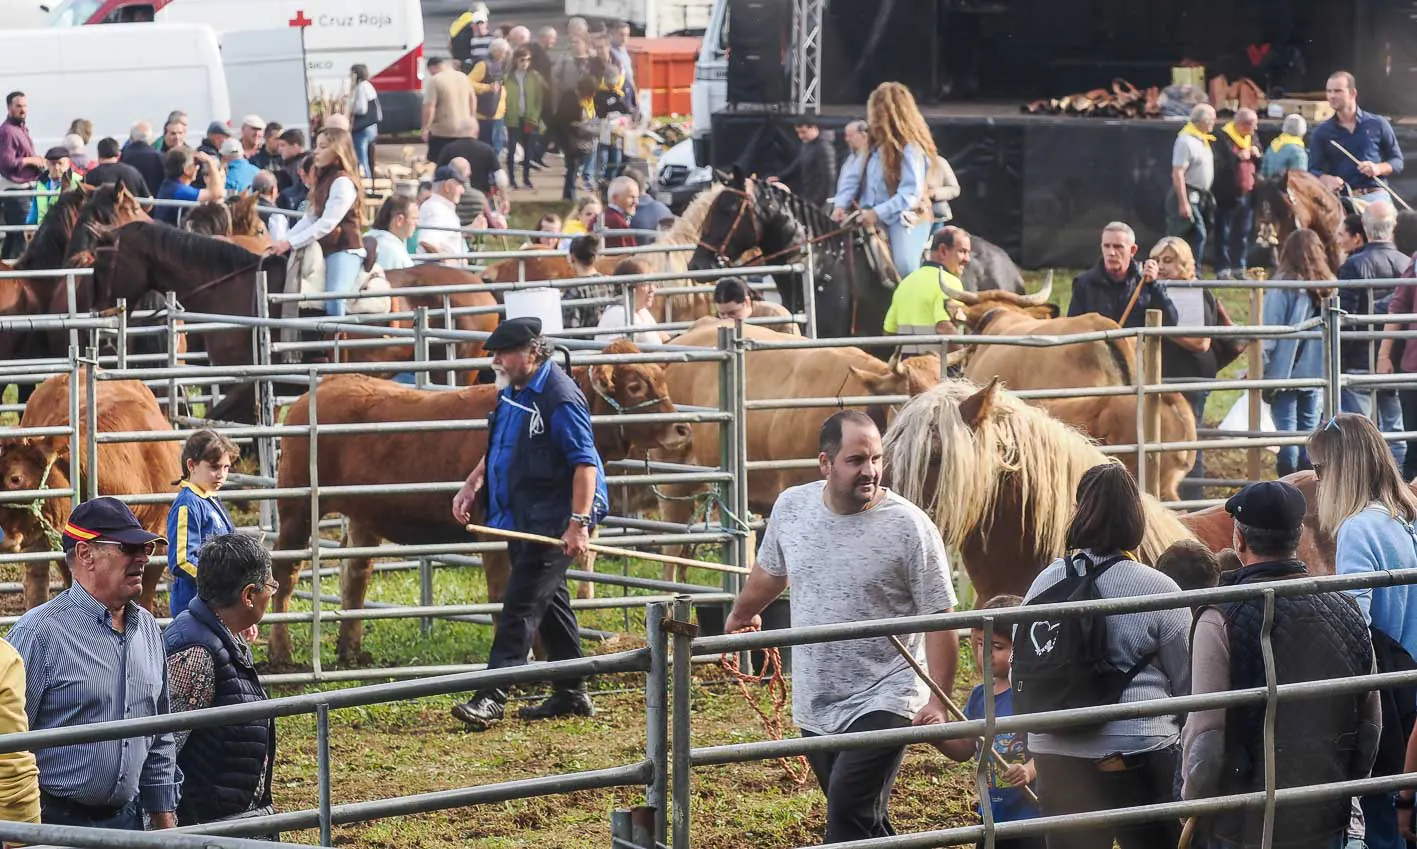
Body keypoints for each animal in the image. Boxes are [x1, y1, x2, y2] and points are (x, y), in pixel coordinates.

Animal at [270, 341, 691, 668]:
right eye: (635, 384)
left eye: (661, 379)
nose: (682, 428)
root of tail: (315, 392)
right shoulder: (493, 531)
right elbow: (504, 593)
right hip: (295, 506)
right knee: (286, 573)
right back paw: (282, 653)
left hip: (363, 515)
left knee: (355, 575)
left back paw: (351, 650)